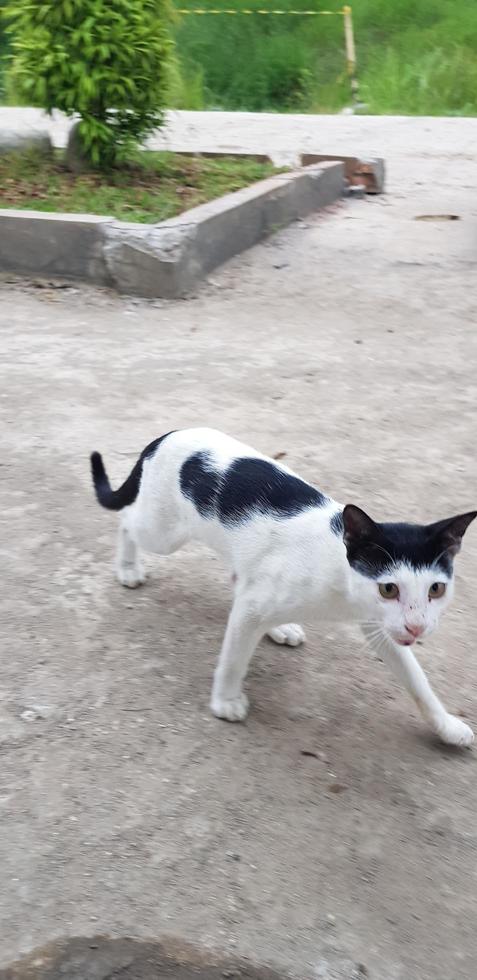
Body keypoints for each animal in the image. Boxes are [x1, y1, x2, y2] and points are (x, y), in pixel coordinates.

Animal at [91, 426, 474, 744]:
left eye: (436, 589)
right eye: (389, 589)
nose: (417, 627)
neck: (341, 580)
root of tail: (167, 435)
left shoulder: (381, 625)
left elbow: (417, 680)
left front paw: (446, 726)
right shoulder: (252, 608)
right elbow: (234, 658)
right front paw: (225, 700)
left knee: (240, 574)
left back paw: (280, 627)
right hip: (162, 532)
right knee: (127, 521)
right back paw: (128, 567)